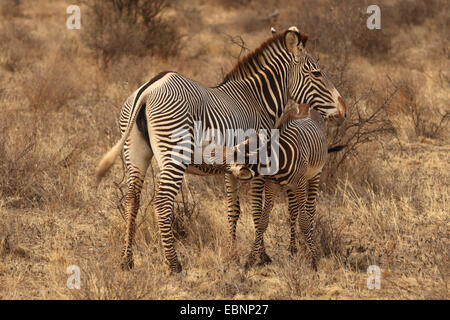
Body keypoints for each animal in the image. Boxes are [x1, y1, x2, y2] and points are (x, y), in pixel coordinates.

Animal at [96, 27, 346, 272]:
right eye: (317, 73)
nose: (343, 110)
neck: (257, 99)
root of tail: (148, 89)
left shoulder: (232, 166)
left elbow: (233, 209)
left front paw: (233, 253)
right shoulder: (259, 162)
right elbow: (258, 210)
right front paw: (260, 256)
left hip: (135, 152)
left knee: (132, 199)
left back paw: (127, 260)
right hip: (174, 153)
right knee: (162, 202)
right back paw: (173, 264)